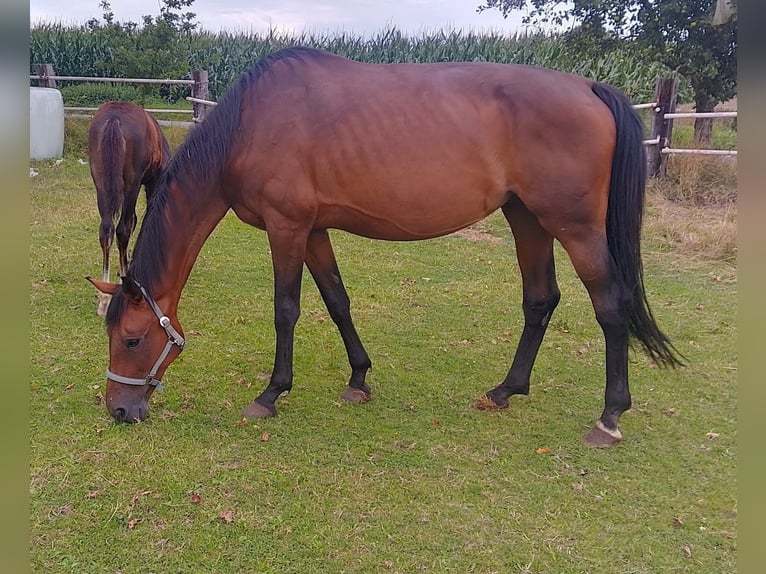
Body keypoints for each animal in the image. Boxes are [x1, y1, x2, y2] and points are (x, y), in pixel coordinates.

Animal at [87, 101, 171, 316]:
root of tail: (114, 119)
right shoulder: (152, 183)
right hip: (131, 185)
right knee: (123, 229)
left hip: (101, 185)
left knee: (106, 231)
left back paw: (104, 299)